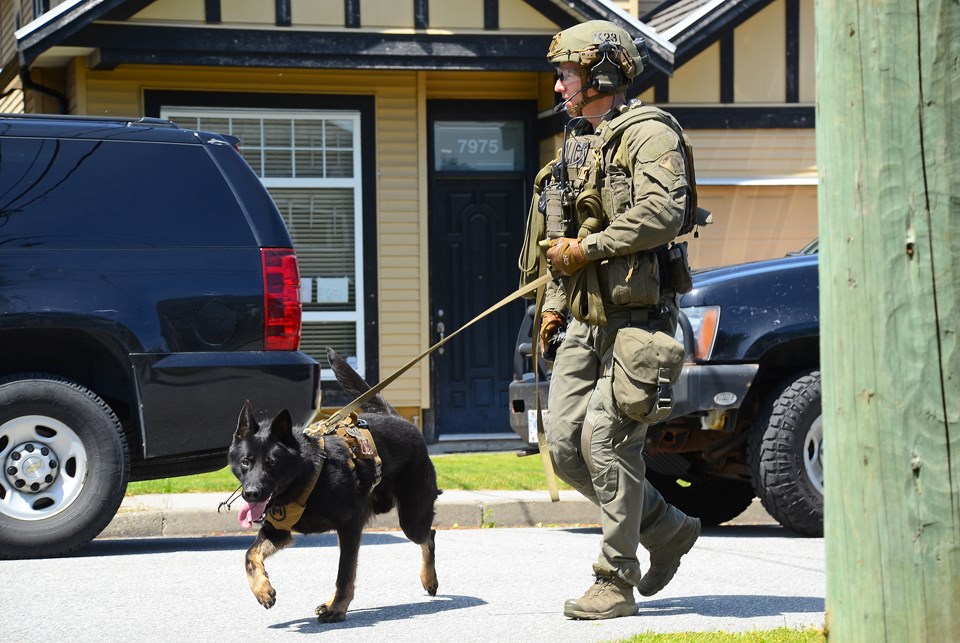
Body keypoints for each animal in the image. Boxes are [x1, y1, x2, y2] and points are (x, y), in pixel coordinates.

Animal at [231, 350, 440, 620]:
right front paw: (262, 590)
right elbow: (249, 555)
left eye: (271, 463)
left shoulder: (350, 527)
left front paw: (338, 607)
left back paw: (429, 579)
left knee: (429, 536)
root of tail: (400, 420)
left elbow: (345, 574)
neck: (307, 474)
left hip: (412, 520)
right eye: (245, 462)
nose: (251, 494)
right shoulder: (277, 532)